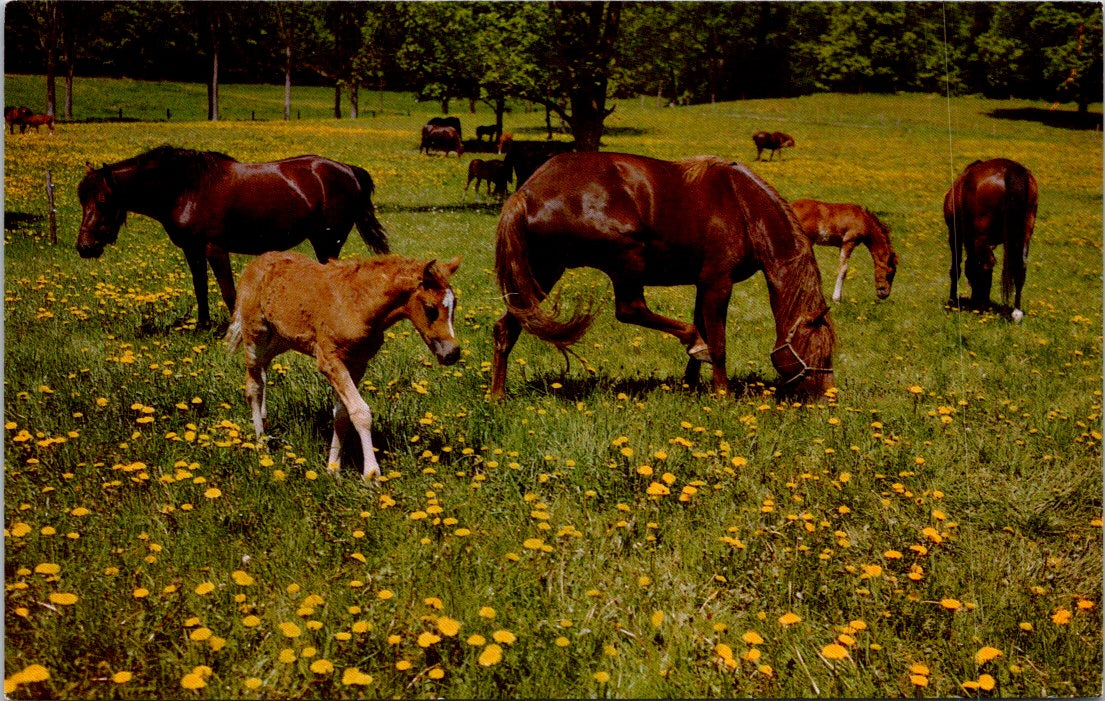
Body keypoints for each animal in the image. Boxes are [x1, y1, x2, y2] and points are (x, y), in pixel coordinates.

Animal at [76, 145, 388, 327]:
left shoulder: (215, 248)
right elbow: (200, 287)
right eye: (82, 201)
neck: (186, 188)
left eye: (102, 202)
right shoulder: (191, 249)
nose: (84, 247)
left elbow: (228, 292)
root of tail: (349, 170)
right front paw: (202, 326)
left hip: (328, 241)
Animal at [228, 250, 461, 479]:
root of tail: (255, 263)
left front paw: (333, 469)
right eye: (430, 309)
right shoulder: (329, 360)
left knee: (263, 370)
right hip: (255, 334)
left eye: (455, 305)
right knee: (253, 385)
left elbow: (342, 415)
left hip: (281, 339)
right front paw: (372, 475)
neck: (357, 303)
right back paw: (261, 444)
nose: (452, 353)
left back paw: (264, 420)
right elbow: (360, 412)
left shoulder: (357, 363)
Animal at [495, 151, 835, 398]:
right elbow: (718, 342)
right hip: (624, 259)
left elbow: (704, 329)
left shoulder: (703, 285)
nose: (828, 397)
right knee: (630, 309)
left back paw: (497, 396)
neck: (743, 205)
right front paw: (721, 393)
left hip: (541, 272)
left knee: (507, 327)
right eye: (821, 350)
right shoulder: (718, 283)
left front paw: (692, 384)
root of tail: (527, 192)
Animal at [941, 157, 1034, 320]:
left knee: (986, 264)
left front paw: (952, 301)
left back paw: (982, 307)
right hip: (1025, 235)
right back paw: (1016, 312)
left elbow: (957, 268)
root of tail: (1011, 169)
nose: (974, 297)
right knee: (1020, 267)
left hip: (979, 237)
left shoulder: (955, 234)